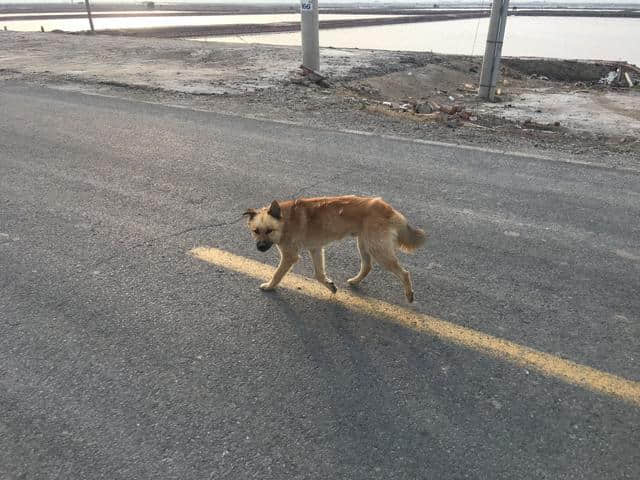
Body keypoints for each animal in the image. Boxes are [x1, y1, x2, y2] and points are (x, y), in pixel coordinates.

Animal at [242, 195, 428, 300]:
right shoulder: (316, 249)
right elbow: (319, 274)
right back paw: (355, 281)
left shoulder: (290, 256)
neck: (285, 221)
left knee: (404, 273)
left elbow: (277, 274)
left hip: (379, 250)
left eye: (269, 231)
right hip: (364, 244)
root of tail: (386, 207)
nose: (260, 247)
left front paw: (269, 286)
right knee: (367, 266)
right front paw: (329, 285)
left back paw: (409, 294)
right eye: (256, 231)